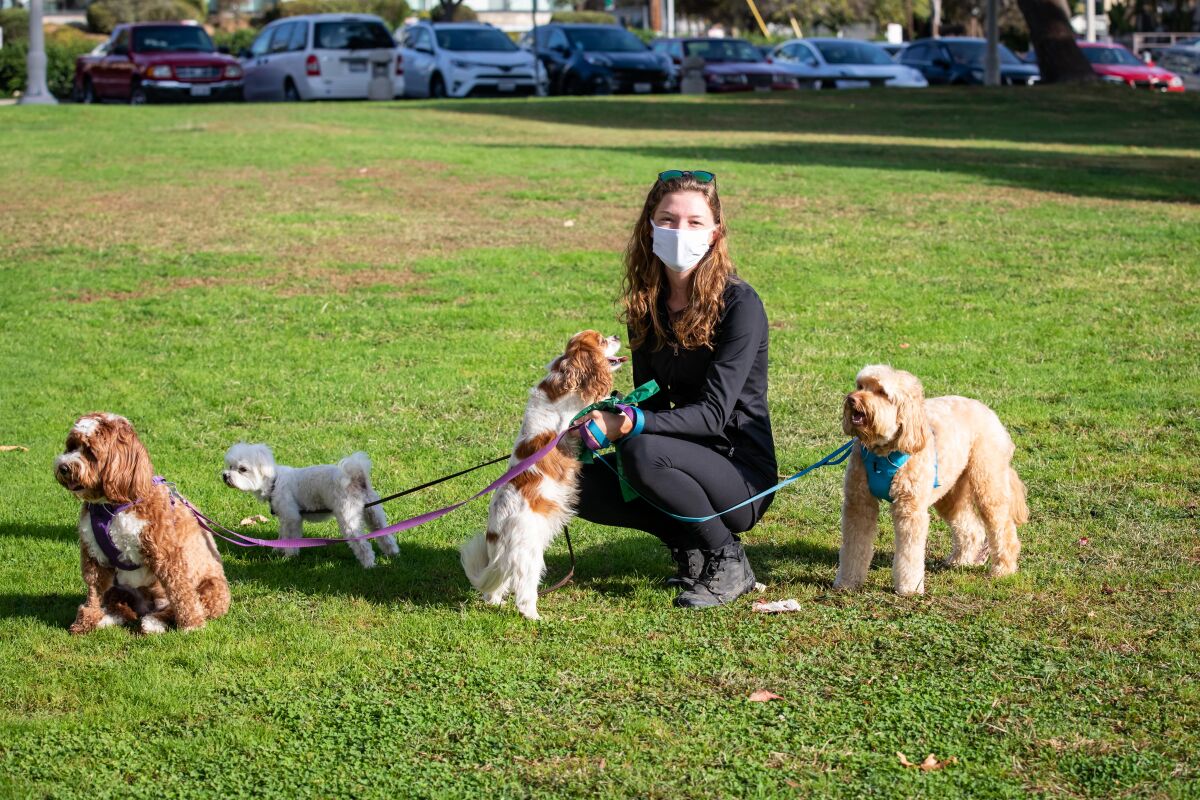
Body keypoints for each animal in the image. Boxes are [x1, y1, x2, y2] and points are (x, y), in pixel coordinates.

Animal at [52, 417, 229, 633]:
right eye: (71, 446)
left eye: (90, 452)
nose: (64, 467)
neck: (112, 507)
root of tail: (149, 606)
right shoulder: (94, 554)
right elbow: (93, 591)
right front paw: (85, 622)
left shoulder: (166, 553)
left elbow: (181, 591)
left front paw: (192, 625)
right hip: (119, 587)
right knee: (122, 607)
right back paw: (108, 618)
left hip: (212, 588)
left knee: (178, 606)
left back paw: (154, 622)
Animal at [220, 443, 398, 568]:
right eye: (230, 466)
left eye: (242, 469)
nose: (225, 475)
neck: (274, 482)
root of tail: (356, 477)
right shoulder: (285, 518)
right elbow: (282, 535)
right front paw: (277, 550)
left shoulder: (292, 517)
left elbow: (291, 538)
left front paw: (289, 556)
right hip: (373, 511)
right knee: (384, 534)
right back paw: (393, 554)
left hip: (348, 517)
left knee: (363, 544)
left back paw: (368, 564)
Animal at [460, 328, 628, 623]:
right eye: (601, 341)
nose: (617, 335)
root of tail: (498, 531)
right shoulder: (573, 420)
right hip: (531, 557)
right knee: (524, 593)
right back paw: (534, 616)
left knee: (493, 592)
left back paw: (497, 604)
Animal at [840, 367, 1027, 597]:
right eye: (860, 385)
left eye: (882, 392)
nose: (851, 399)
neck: (882, 454)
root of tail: (990, 413)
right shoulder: (859, 504)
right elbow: (853, 547)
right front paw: (847, 582)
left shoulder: (910, 510)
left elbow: (909, 554)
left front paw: (909, 588)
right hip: (951, 494)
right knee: (971, 528)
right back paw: (960, 561)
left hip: (988, 485)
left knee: (1004, 529)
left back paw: (1003, 569)